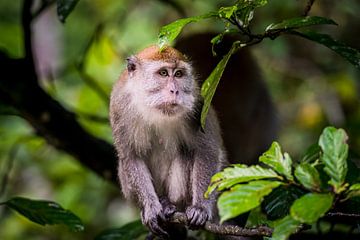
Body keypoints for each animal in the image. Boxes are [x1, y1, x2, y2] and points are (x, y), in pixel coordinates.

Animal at [109, 44, 228, 238]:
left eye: (179, 74)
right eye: (163, 73)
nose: (175, 91)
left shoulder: (197, 104)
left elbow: (207, 150)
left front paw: (200, 208)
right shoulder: (119, 104)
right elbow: (131, 156)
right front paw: (150, 207)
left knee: (187, 152)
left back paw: (172, 205)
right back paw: (162, 204)